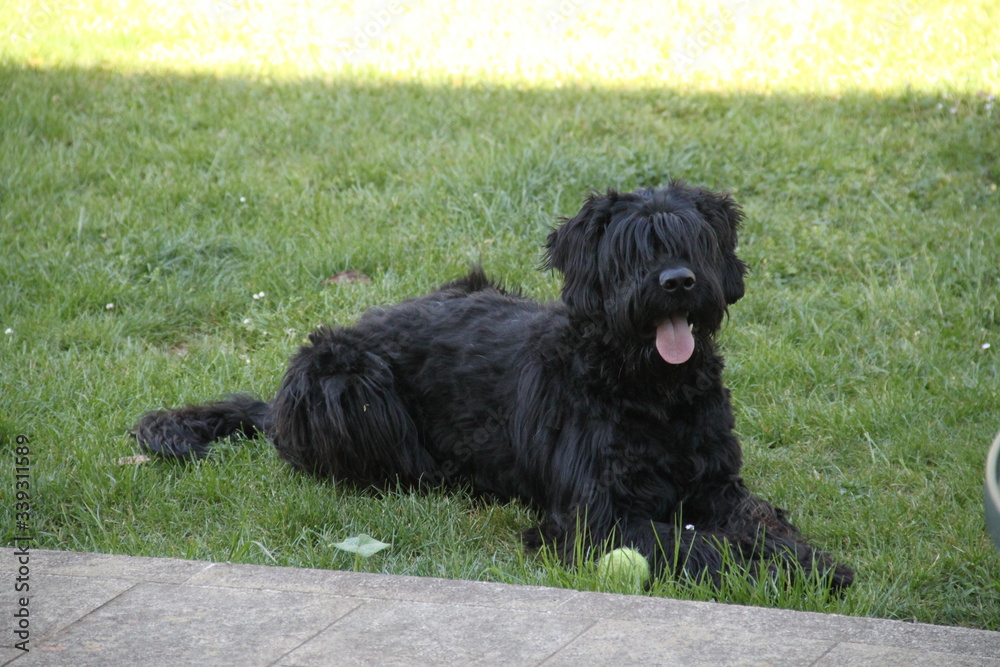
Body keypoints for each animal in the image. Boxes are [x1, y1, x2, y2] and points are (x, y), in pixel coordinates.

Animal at [133, 181, 852, 588]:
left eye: (694, 240)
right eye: (631, 249)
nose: (678, 281)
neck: (649, 393)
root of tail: (276, 411)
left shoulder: (717, 486)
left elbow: (758, 520)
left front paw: (811, 563)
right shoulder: (596, 517)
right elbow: (692, 542)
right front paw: (767, 574)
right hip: (341, 376)